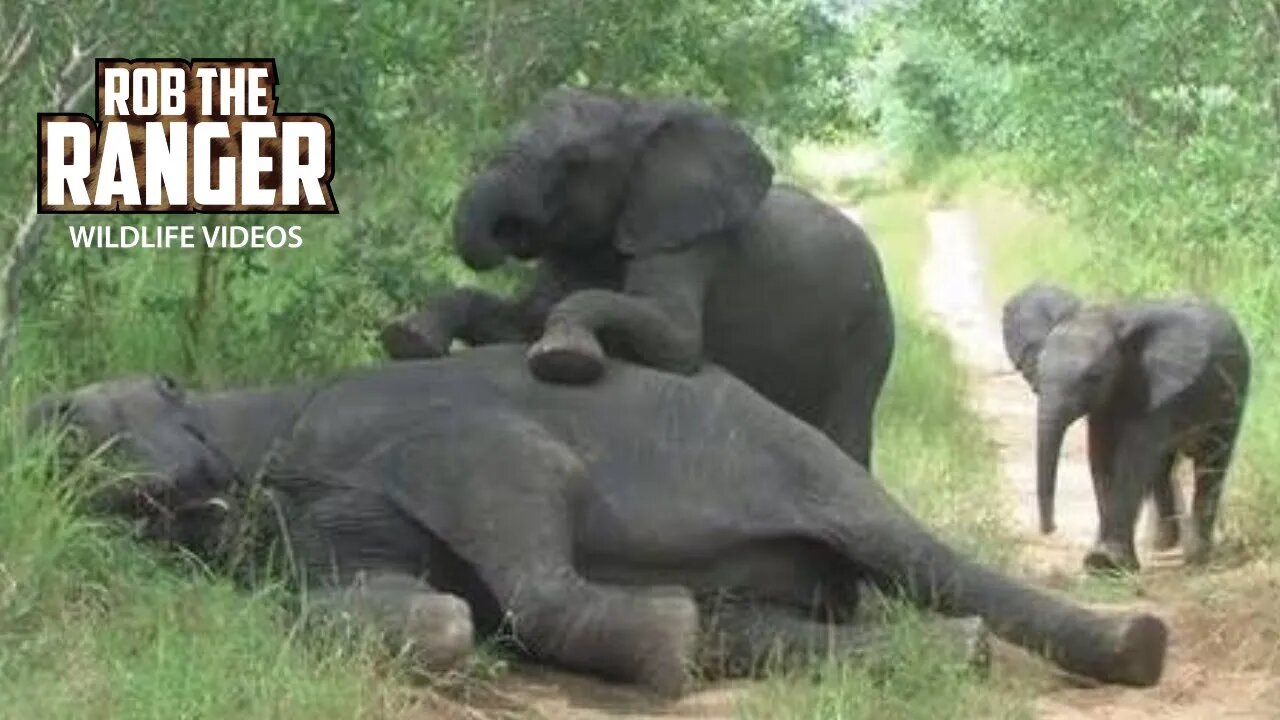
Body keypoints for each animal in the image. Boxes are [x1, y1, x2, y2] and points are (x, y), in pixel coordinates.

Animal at [30, 345, 1172, 691]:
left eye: (91, 420)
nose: (160, 493)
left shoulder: (432, 435)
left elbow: (525, 490)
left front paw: (654, 648)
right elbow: (372, 600)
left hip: (803, 457)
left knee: (913, 553)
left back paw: (1132, 646)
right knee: (760, 630)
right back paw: (955, 656)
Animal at [384, 87, 896, 468]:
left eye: (575, 162)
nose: (507, 230)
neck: (640, 118)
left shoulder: (685, 237)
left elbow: (678, 340)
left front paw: (564, 357)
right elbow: (521, 319)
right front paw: (408, 338)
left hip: (869, 335)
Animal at [998, 281, 1249, 571]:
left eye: (1094, 377)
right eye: (1038, 369)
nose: (1050, 529)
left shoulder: (1155, 388)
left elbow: (1133, 459)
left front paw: (1105, 562)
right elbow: (1102, 459)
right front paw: (1103, 563)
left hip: (1234, 392)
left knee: (1212, 462)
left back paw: (1197, 558)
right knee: (1163, 467)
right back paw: (1163, 544)